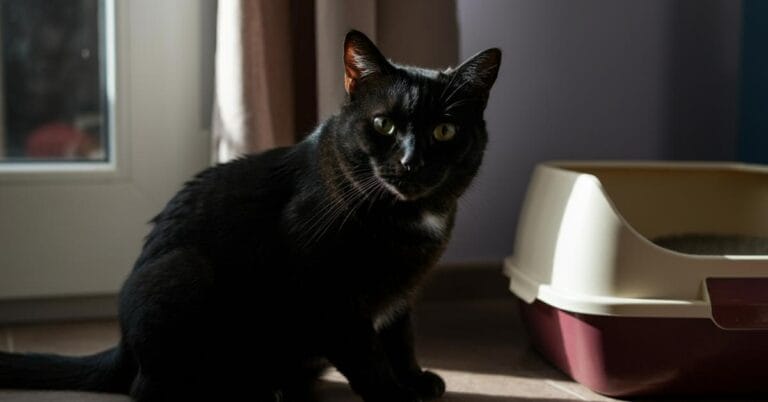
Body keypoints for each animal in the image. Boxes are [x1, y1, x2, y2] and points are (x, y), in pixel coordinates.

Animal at [0, 29, 500, 400]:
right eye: (384, 124)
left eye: (444, 131)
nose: (412, 161)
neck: (410, 218)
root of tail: (121, 345)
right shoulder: (329, 297)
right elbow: (367, 357)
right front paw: (396, 396)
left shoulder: (400, 294)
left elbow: (401, 338)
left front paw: (415, 379)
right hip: (184, 273)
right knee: (150, 387)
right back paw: (248, 393)